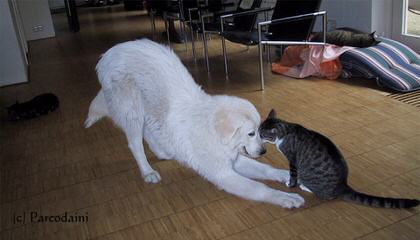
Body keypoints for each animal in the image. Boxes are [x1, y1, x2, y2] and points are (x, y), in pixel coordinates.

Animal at [85, 39, 304, 208]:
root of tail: (110, 53)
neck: (214, 134)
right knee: (135, 144)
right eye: (250, 133)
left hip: (148, 110)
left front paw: (287, 174)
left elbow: (266, 170)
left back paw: (163, 152)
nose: (263, 151)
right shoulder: (223, 173)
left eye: (258, 132)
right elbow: (260, 188)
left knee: (149, 132)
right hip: (132, 111)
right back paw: (148, 172)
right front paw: (286, 197)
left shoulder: (234, 160)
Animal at [260, 109, 420, 208]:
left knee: (326, 195)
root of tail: (343, 185)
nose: (258, 135)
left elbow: (293, 175)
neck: (284, 131)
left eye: (262, 133)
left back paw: (305, 186)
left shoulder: (292, 159)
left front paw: (290, 183)